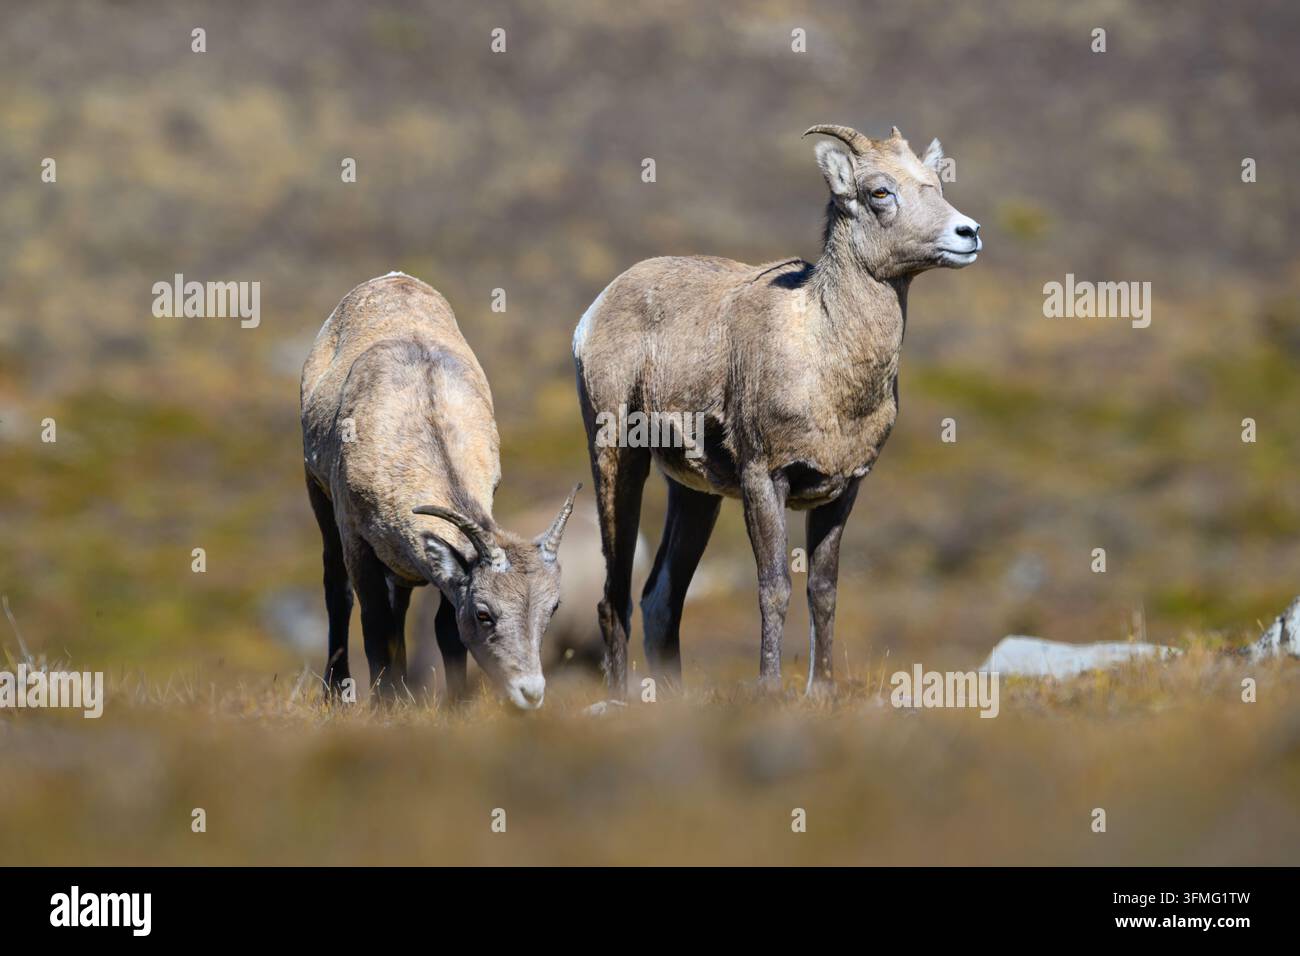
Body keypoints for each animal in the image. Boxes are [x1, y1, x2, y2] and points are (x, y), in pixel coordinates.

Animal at [301, 273, 580, 709]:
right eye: (484, 613)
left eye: (551, 609)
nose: (529, 693)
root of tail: (393, 278)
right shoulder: (356, 536)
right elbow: (374, 624)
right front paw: (382, 707)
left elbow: (444, 630)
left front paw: (454, 706)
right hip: (317, 491)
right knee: (337, 589)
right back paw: (337, 692)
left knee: (399, 606)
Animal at [573, 124, 982, 696]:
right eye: (879, 192)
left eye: (935, 185)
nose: (968, 233)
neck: (824, 354)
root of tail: (596, 311)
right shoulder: (764, 479)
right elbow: (774, 588)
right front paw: (768, 689)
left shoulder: (844, 489)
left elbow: (823, 591)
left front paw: (822, 691)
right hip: (616, 459)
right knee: (614, 600)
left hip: (695, 496)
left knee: (660, 601)